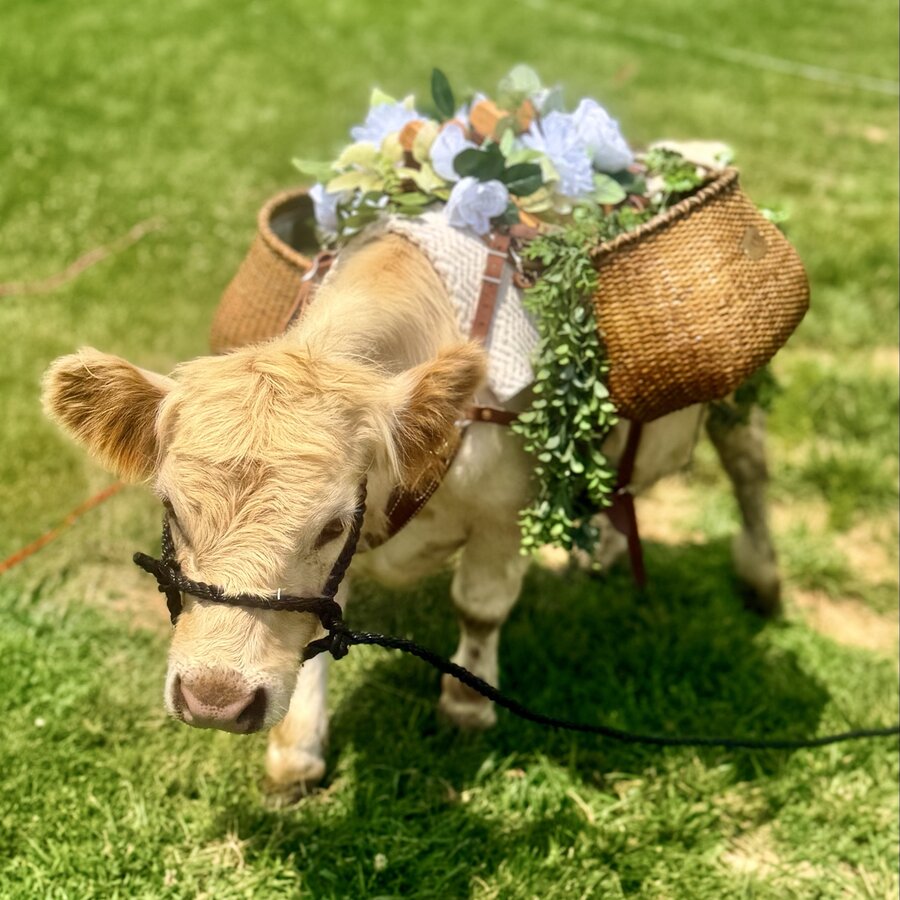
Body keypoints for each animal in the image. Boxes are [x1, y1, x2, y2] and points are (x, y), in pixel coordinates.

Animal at [42, 228, 779, 796]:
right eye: (171, 506)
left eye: (333, 523)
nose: (215, 699)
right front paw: (296, 752)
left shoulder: (501, 516)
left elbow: (480, 607)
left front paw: (467, 707)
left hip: (737, 401)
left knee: (749, 470)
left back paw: (763, 583)